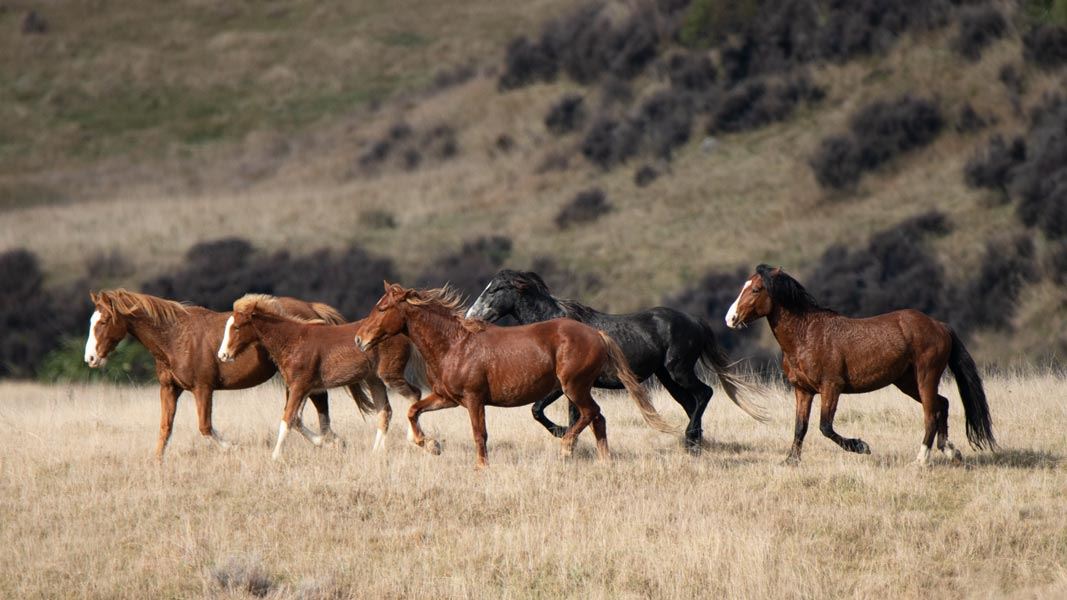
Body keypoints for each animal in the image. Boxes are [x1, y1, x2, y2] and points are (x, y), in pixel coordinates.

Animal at [218, 292, 422, 456]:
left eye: (237, 327)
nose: (222, 355)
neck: (293, 341)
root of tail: (404, 333)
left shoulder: (299, 387)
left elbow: (287, 420)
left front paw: (275, 456)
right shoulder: (305, 389)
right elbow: (296, 420)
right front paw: (331, 443)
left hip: (390, 376)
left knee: (415, 394)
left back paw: (416, 441)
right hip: (375, 380)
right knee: (385, 411)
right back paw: (377, 451)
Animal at [356, 281, 674, 467]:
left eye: (381, 308)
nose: (359, 340)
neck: (455, 344)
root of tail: (596, 334)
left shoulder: (474, 399)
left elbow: (479, 434)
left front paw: (481, 467)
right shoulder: (447, 398)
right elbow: (413, 411)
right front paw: (431, 446)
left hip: (574, 387)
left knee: (590, 414)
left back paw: (566, 448)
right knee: (598, 419)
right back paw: (604, 462)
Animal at [467, 269, 768, 450]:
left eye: (494, 290)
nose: (471, 316)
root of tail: (694, 321)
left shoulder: (561, 385)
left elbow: (538, 410)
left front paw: (563, 435)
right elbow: (563, 414)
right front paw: (570, 442)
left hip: (679, 370)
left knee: (704, 393)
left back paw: (690, 438)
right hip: (668, 378)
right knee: (691, 403)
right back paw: (693, 443)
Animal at [721, 263, 994, 465]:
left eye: (756, 289)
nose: (730, 318)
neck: (807, 335)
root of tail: (940, 325)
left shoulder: (831, 387)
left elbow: (825, 427)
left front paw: (861, 446)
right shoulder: (803, 390)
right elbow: (801, 427)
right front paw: (791, 461)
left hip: (926, 376)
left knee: (930, 413)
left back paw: (921, 459)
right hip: (906, 382)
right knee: (942, 404)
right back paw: (950, 451)